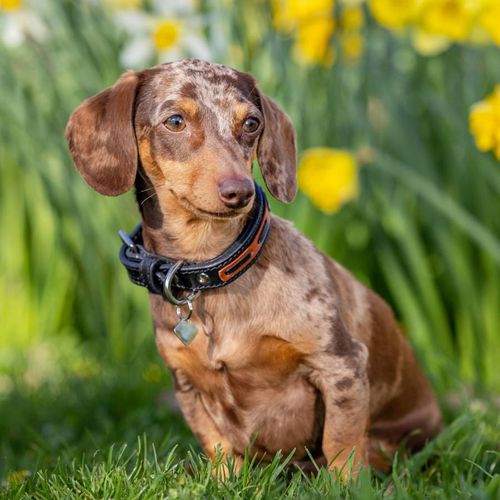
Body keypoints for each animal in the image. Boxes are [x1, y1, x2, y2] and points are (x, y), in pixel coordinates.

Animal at [65, 60, 442, 478]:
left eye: (251, 123)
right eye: (175, 121)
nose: (240, 191)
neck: (211, 272)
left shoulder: (341, 365)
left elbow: (341, 446)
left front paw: (346, 485)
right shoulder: (188, 387)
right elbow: (218, 447)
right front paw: (223, 481)